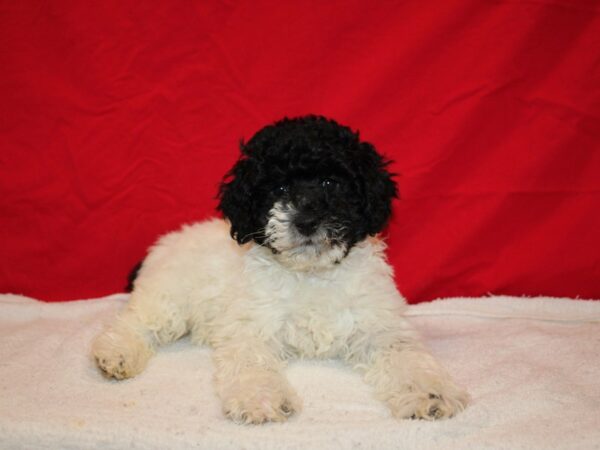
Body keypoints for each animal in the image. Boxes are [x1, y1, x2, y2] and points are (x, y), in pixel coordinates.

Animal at [94, 114, 468, 424]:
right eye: (280, 188)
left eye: (331, 183)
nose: (306, 220)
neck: (311, 273)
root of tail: (166, 243)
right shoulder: (252, 325)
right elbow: (252, 362)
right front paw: (260, 399)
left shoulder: (378, 323)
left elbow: (405, 354)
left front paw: (430, 393)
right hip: (169, 296)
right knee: (137, 322)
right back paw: (115, 355)